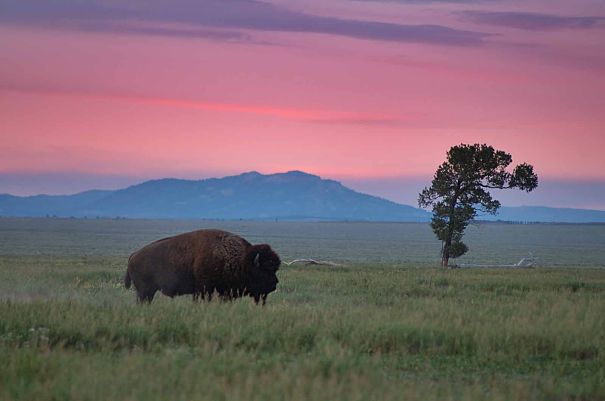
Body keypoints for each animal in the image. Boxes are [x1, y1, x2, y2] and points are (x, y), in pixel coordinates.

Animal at [124, 228, 284, 304]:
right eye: (264, 269)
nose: (275, 284)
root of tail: (133, 255)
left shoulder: (223, 291)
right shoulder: (204, 288)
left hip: (148, 292)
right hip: (145, 291)